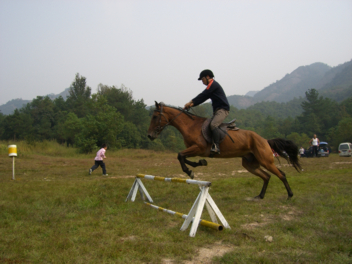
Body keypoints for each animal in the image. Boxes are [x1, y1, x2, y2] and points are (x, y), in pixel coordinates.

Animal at [147, 102, 302, 199]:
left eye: (155, 117)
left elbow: (180, 156)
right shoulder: (194, 150)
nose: (150, 136)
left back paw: (290, 195)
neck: (190, 126)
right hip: (250, 164)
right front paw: (199, 164)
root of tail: (265, 140)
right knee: (267, 176)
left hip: (266, 160)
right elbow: (183, 157)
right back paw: (260, 196)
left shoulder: (198, 148)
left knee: (281, 174)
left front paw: (190, 171)